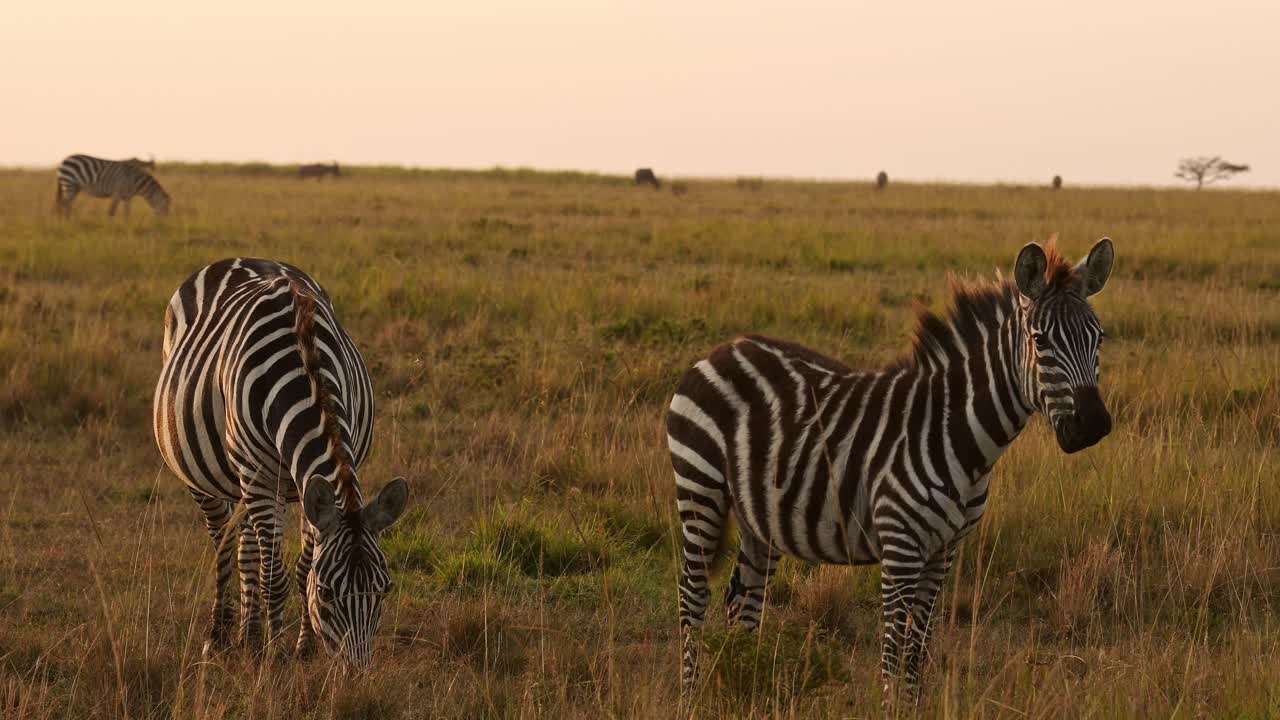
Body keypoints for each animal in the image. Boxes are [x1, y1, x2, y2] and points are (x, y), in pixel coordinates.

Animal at [153, 258, 408, 670]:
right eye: (327, 592)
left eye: (384, 589)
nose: (357, 674)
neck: (307, 364)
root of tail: (239, 259)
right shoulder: (259, 477)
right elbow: (275, 576)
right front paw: (277, 656)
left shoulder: (310, 487)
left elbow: (300, 566)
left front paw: (302, 647)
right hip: (211, 476)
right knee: (225, 543)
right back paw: (220, 636)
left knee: (247, 551)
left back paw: (250, 635)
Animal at [667, 238, 1114, 706]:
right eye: (1040, 341)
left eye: (1099, 338)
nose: (1093, 425)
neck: (958, 435)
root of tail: (720, 351)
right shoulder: (900, 547)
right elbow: (893, 644)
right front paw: (891, 706)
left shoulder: (943, 551)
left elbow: (919, 644)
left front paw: (913, 705)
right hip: (700, 487)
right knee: (693, 594)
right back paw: (691, 697)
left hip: (761, 515)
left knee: (744, 598)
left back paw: (748, 689)